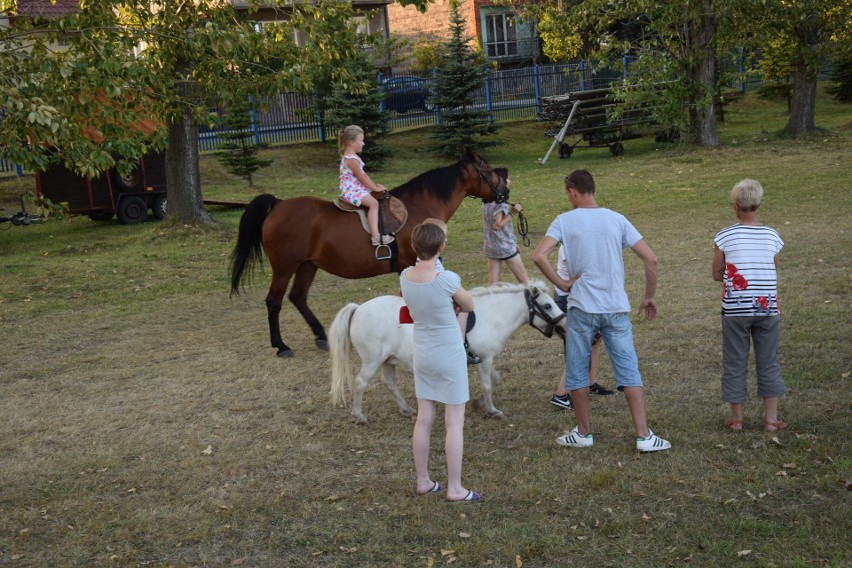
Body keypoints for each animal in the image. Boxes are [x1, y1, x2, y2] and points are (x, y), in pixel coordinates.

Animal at [228, 149, 506, 358]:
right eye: (489, 169)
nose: (505, 191)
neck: (420, 207)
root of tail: (278, 204)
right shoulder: (412, 265)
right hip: (284, 267)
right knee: (274, 301)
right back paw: (281, 345)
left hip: (308, 264)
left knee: (298, 297)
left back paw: (321, 336)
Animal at [328, 282, 564, 424]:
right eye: (547, 305)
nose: (563, 325)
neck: (492, 315)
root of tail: (358, 308)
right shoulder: (485, 359)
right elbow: (488, 385)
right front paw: (491, 409)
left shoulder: (484, 358)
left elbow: (495, 380)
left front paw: (478, 403)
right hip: (372, 360)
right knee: (361, 383)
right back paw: (359, 415)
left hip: (388, 360)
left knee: (390, 383)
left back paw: (406, 409)